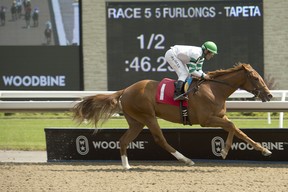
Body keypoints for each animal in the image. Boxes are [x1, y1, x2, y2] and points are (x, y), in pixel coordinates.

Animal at [73, 63, 274, 170]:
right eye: (255, 78)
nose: (269, 95)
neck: (214, 89)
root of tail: (126, 90)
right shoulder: (206, 120)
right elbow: (233, 126)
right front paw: (224, 151)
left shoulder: (219, 117)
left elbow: (238, 131)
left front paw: (264, 150)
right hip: (148, 117)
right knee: (160, 140)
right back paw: (186, 159)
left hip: (136, 122)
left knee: (123, 141)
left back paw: (126, 166)